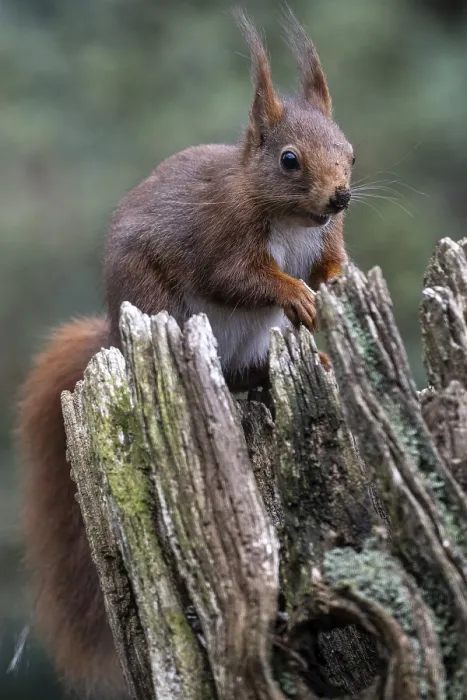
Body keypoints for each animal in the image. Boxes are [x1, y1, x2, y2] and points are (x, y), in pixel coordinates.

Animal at [16, 12, 354, 697]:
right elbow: (240, 279)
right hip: (160, 306)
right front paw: (294, 294)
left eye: (350, 150)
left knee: (250, 370)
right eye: (289, 160)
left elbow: (329, 266)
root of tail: (114, 335)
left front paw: (334, 282)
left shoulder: (324, 238)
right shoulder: (222, 238)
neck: (290, 222)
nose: (341, 198)